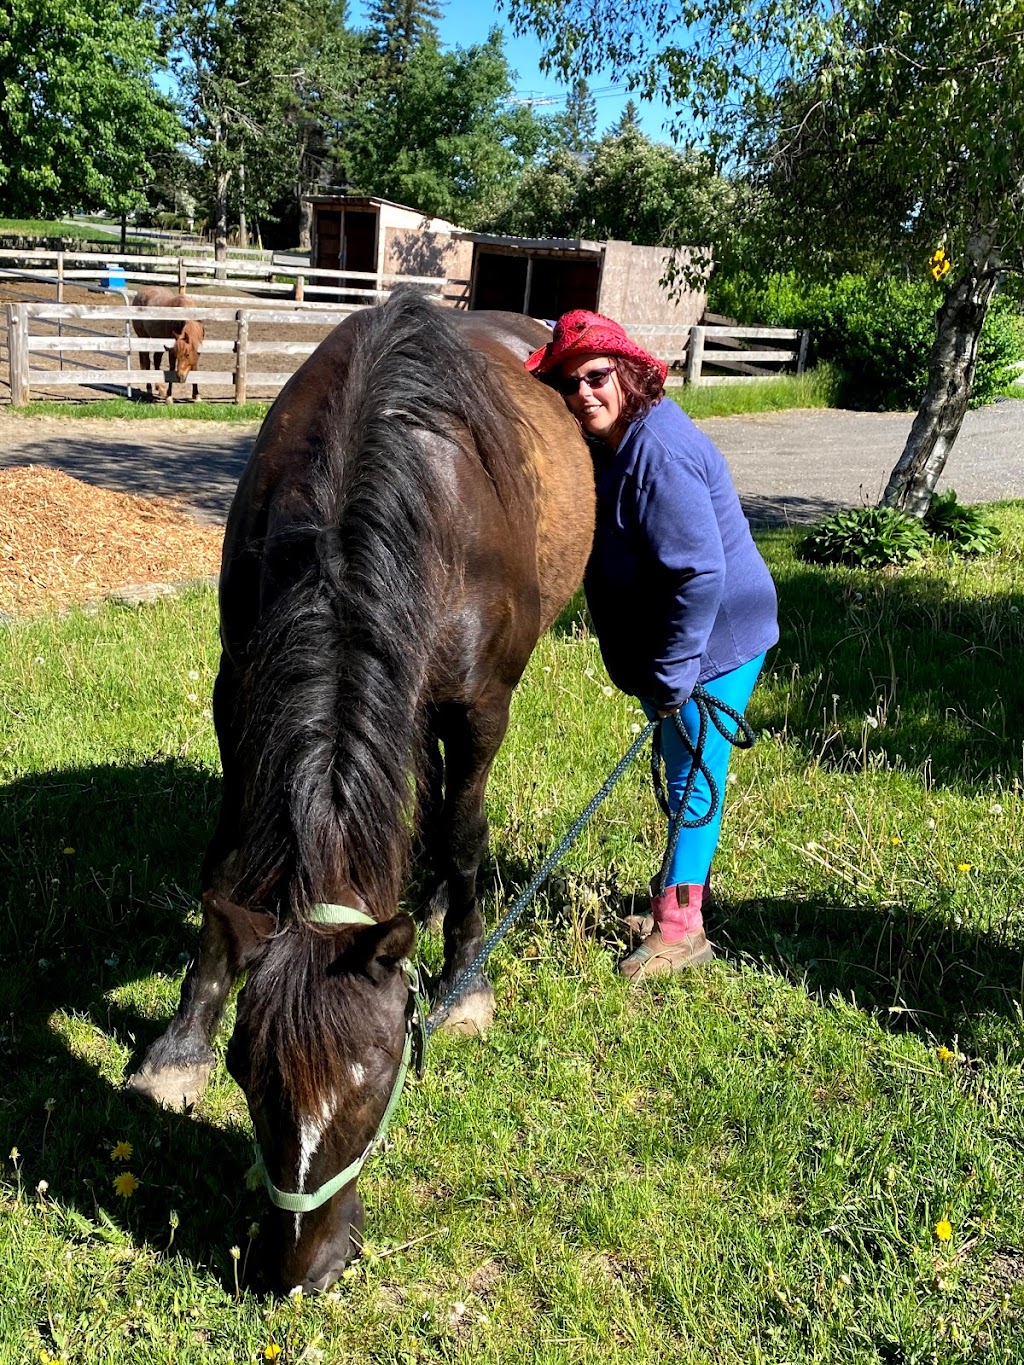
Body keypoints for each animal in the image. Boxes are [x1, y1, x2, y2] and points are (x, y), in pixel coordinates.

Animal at [127, 293, 592, 1294]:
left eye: (379, 1077)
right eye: (246, 1068)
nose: (304, 1267)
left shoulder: (480, 706)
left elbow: (464, 834)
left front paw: (464, 982)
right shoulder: (242, 689)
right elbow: (225, 860)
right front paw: (179, 1042)